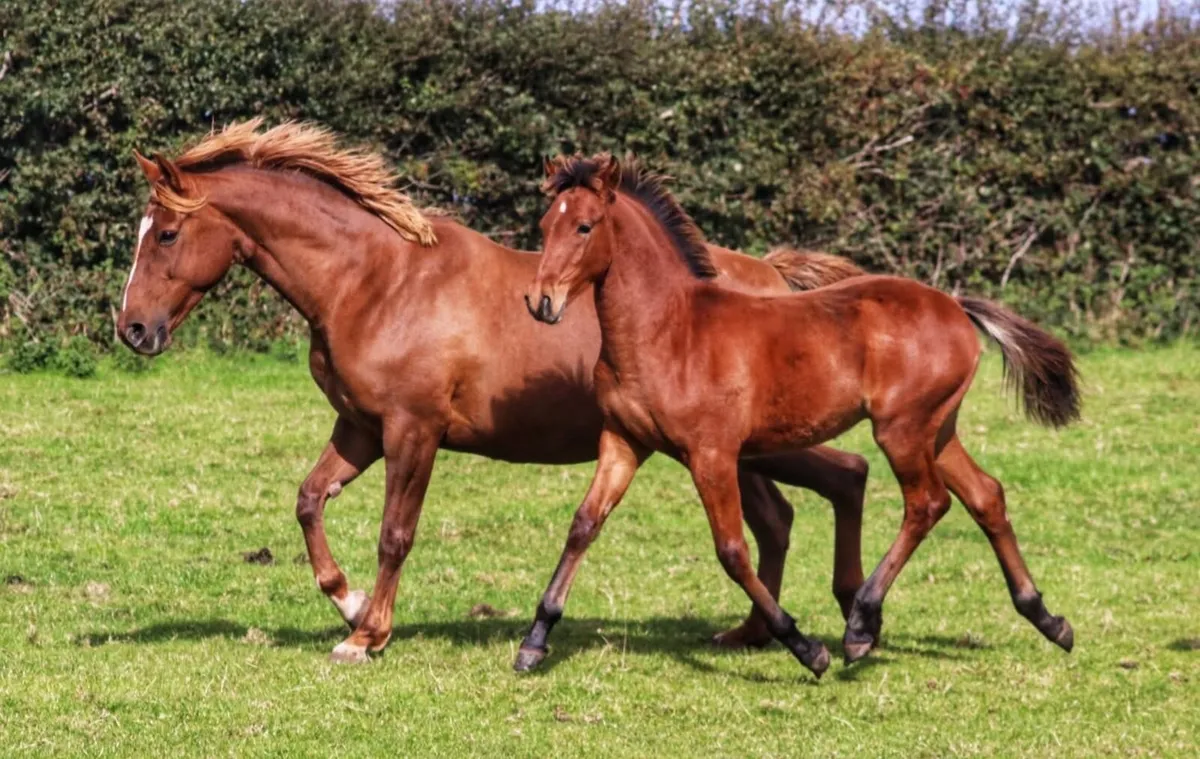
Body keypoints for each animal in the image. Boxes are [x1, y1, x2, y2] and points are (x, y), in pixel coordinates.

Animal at [116, 120, 872, 663]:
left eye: (169, 233)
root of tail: (771, 278)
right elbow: (308, 501)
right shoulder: (359, 428)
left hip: (750, 447)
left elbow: (395, 533)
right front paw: (349, 603)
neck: (374, 281)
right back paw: (770, 632)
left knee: (844, 477)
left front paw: (368, 635)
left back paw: (845, 624)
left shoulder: (412, 431)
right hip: (737, 454)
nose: (132, 329)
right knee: (789, 511)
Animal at [520, 153, 1081, 679]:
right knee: (986, 495)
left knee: (927, 503)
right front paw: (535, 641)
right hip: (936, 430)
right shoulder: (623, 442)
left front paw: (806, 648)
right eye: (545, 225)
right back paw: (1048, 619)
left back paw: (861, 625)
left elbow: (732, 550)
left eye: (585, 226)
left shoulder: (711, 454)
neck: (668, 331)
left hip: (901, 431)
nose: (541, 302)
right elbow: (584, 524)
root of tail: (955, 305)